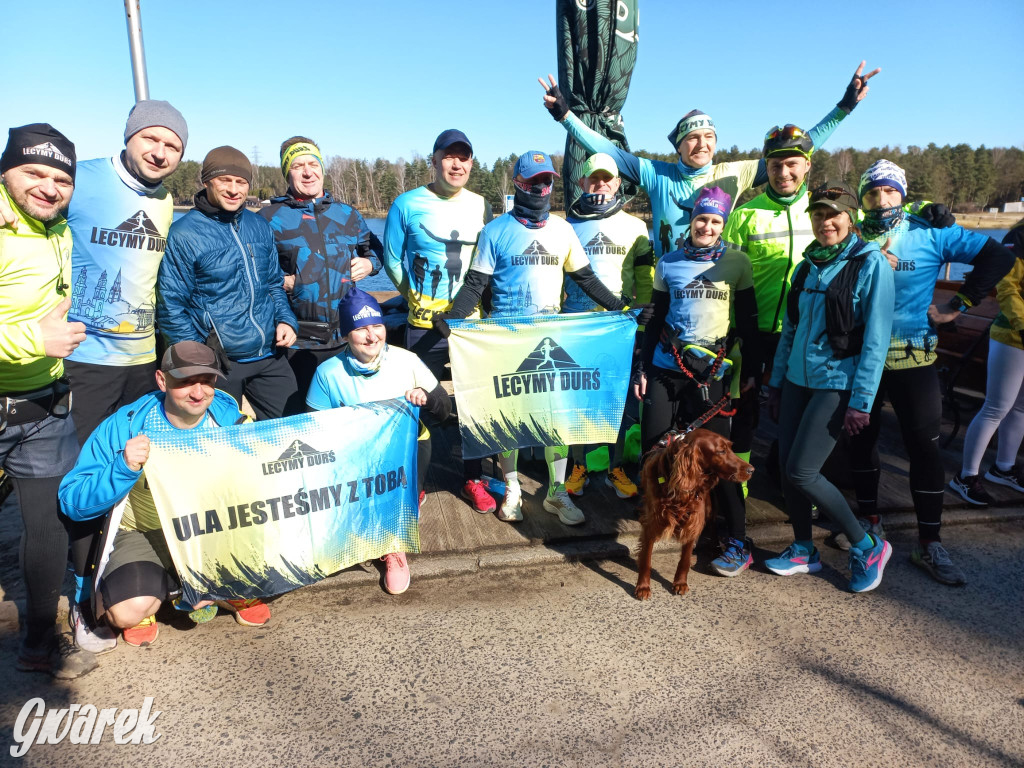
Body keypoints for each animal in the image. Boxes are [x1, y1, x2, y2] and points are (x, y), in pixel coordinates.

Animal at [630, 428, 753, 602]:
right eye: (721, 451)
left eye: (730, 448)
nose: (751, 470)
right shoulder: (652, 524)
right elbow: (646, 558)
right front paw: (643, 587)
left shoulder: (693, 521)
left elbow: (685, 559)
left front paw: (680, 583)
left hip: (709, 509)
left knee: (713, 526)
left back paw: (716, 549)